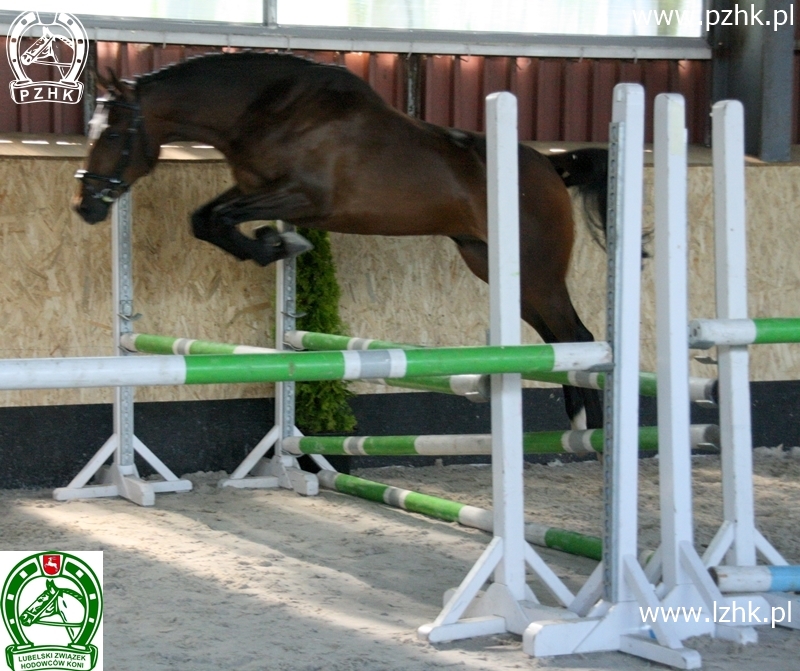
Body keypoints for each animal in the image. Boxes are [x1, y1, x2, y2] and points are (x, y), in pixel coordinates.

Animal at [76, 52, 612, 430]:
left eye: (113, 134)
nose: (86, 205)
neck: (269, 110)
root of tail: (551, 167)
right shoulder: (257, 189)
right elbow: (204, 220)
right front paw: (274, 246)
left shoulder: (302, 196)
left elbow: (219, 219)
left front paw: (277, 245)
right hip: (495, 265)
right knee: (561, 338)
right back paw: (579, 423)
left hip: (537, 271)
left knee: (578, 336)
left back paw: (593, 435)